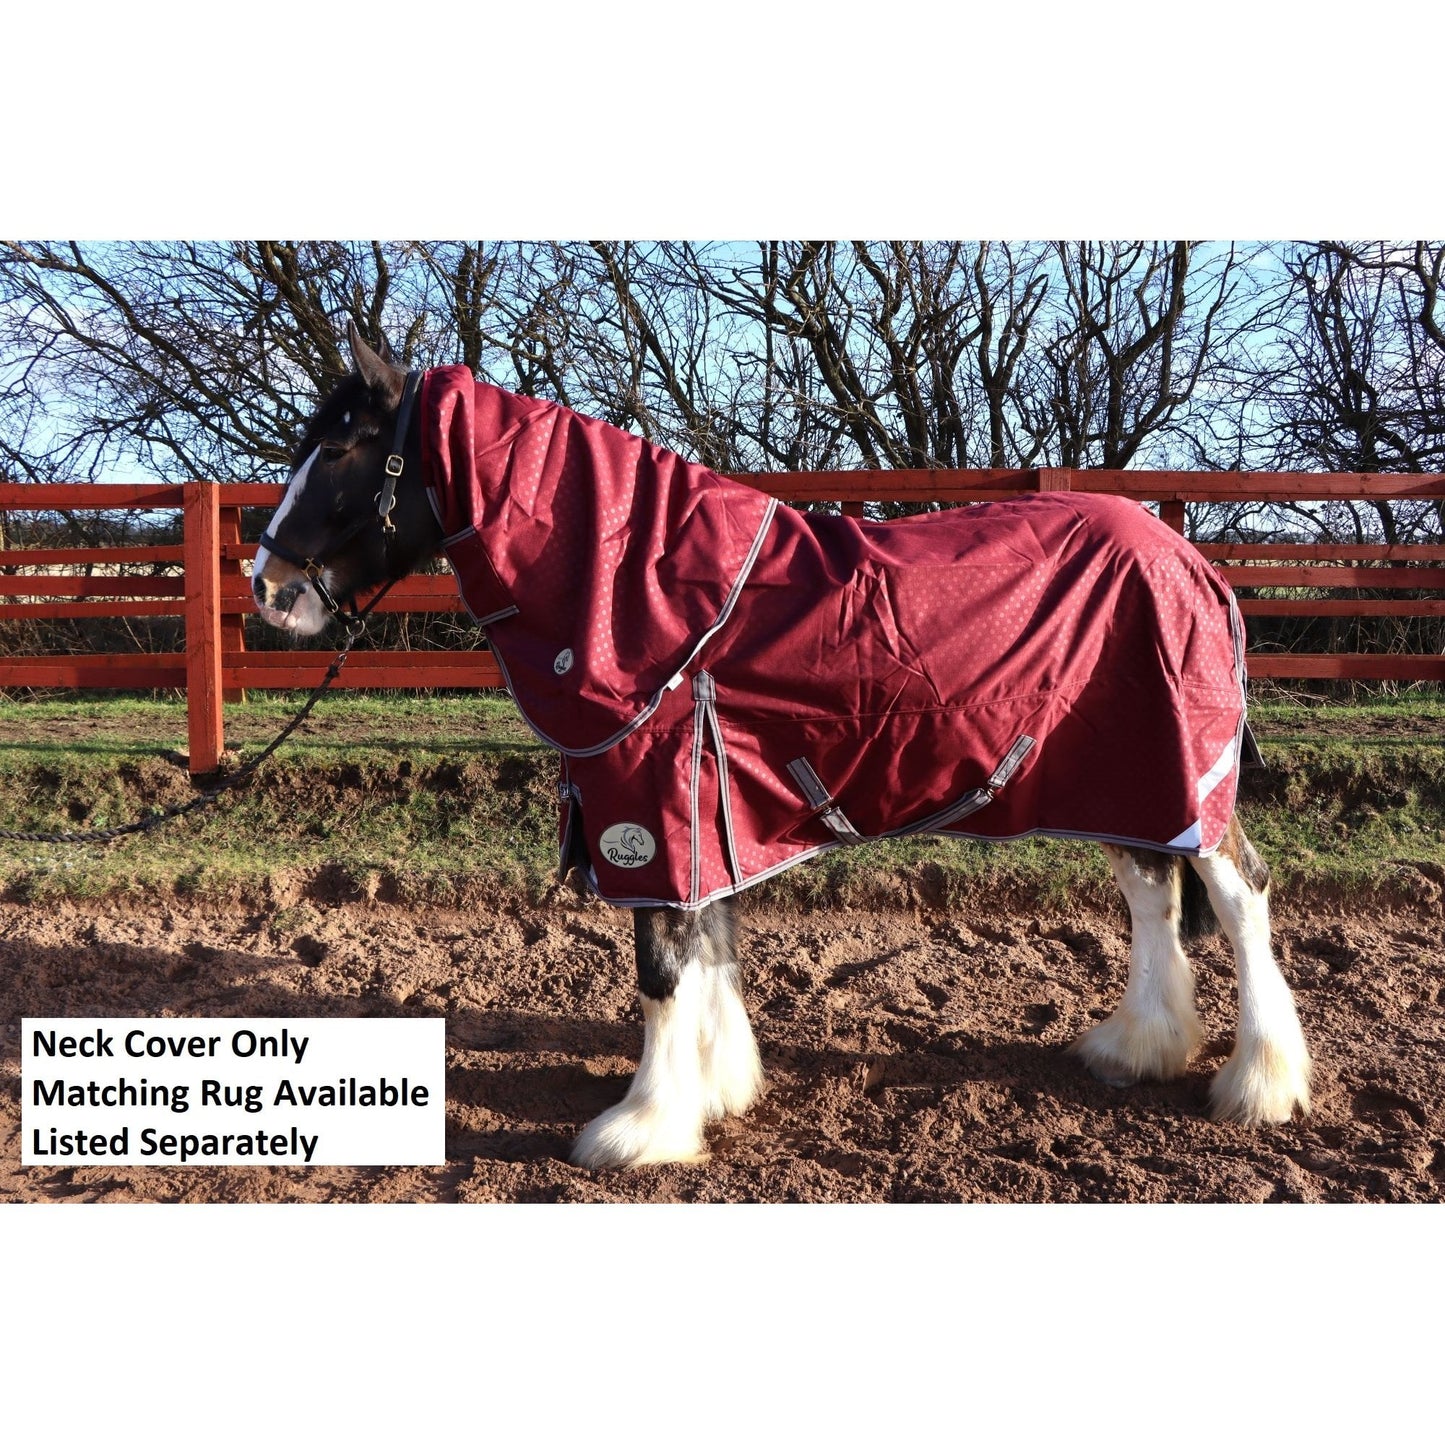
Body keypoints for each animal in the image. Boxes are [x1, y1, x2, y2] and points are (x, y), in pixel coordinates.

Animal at [252, 323, 1313, 1170]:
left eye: (338, 446)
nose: (269, 588)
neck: (651, 590)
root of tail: (1192, 564)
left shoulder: (653, 805)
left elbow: (662, 967)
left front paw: (642, 1127)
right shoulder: (707, 811)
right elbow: (712, 944)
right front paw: (717, 1087)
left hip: (1182, 781)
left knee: (1238, 893)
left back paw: (1259, 1083)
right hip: (1125, 784)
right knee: (1149, 891)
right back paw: (1137, 1046)